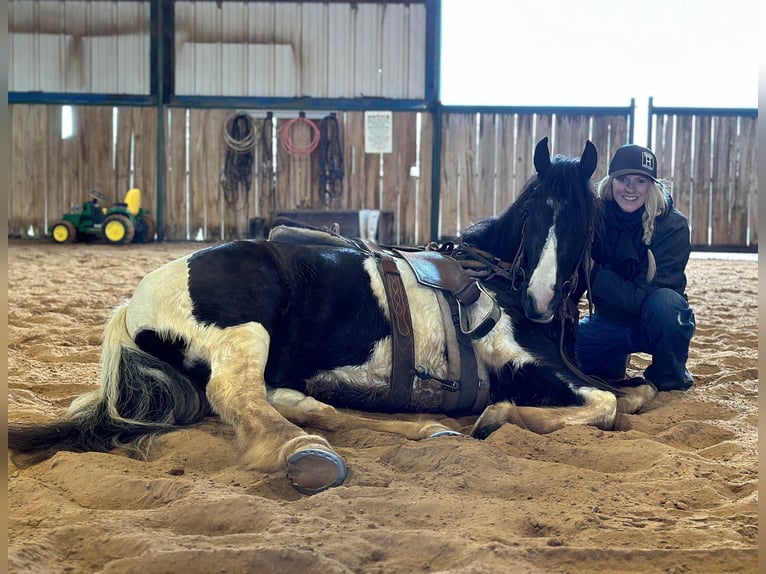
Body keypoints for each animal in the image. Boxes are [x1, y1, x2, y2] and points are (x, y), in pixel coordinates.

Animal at [6, 138, 656, 496]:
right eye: (534, 216)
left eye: (582, 218)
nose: (542, 297)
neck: (495, 281)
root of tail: (131, 305)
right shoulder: (524, 363)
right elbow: (605, 403)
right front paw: (498, 415)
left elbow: (634, 392)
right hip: (246, 332)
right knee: (243, 400)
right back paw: (306, 453)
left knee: (295, 401)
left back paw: (417, 427)